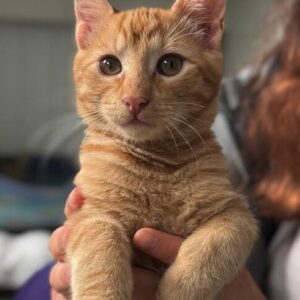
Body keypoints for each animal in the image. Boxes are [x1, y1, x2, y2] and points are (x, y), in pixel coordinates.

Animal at [67, 0, 258, 300]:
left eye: (170, 64)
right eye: (109, 65)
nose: (134, 100)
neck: (155, 164)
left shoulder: (235, 211)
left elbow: (217, 243)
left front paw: (179, 288)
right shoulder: (90, 214)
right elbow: (100, 250)